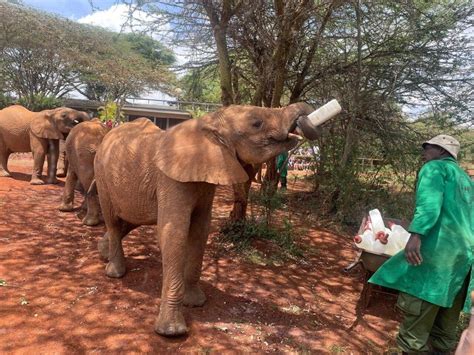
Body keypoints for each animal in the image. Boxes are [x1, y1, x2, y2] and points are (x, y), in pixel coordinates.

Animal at [92, 103, 314, 336]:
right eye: (257, 123)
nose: (304, 121)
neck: (210, 122)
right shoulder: (170, 180)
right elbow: (174, 233)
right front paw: (172, 332)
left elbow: (200, 230)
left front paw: (196, 303)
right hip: (102, 175)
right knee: (113, 220)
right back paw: (115, 272)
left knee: (133, 218)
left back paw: (103, 251)